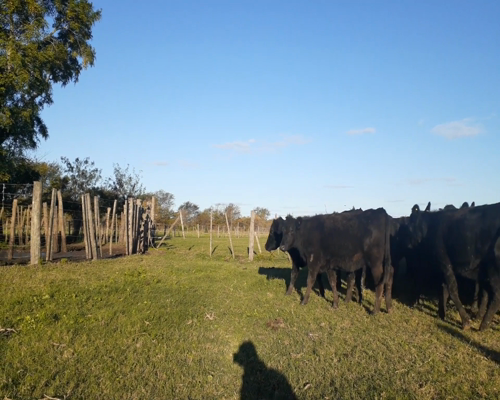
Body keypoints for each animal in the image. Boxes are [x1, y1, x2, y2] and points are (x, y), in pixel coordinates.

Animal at [396, 202, 500, 330]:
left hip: (493, 270)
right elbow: (443, 289)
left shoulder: (445, 263)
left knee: (496, 295)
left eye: (409, 225)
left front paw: (465, 321)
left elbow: (452, 289)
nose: (403, 242)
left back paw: (483, 325)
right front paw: (441, 313)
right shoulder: (442, 267)